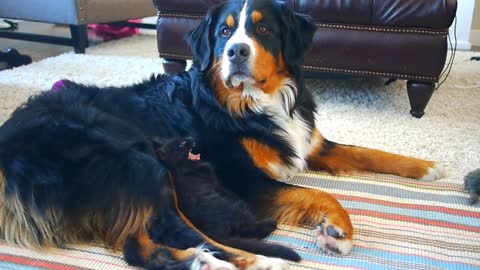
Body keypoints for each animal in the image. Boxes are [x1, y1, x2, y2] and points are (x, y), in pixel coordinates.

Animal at [0, 0, 442, 270]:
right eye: (224, 34)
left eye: (262, 29)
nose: (236, 53)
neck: (253, 101)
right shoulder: (242, 176)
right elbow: (317, 193)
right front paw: (338, 231)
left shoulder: (306, 141)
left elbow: (367, 151)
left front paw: (426, 166)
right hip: (139, 163)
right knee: (181, 232)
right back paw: (260, 260)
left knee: (143, 247)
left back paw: (205, 260)